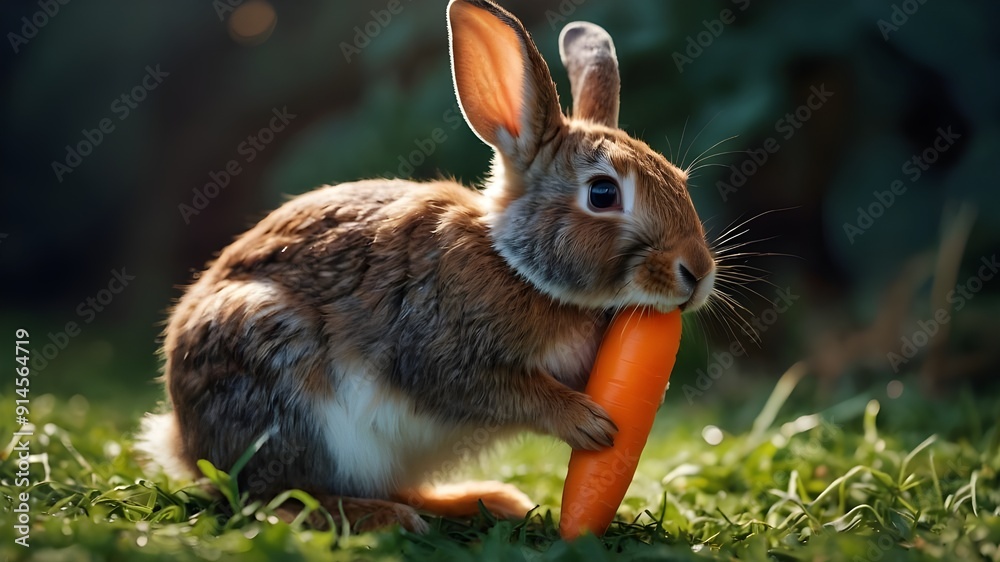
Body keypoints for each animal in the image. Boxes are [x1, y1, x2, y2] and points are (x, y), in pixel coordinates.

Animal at [136, 0, 716, 533]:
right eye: (602, 194)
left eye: (680, 181)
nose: (697, 272)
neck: (516, 266)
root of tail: (183, 439)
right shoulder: (437, 350)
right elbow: (503, 390)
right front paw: (587, 423)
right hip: (278, 381)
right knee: (268, 496)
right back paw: (377, 518)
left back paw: (481, 501)